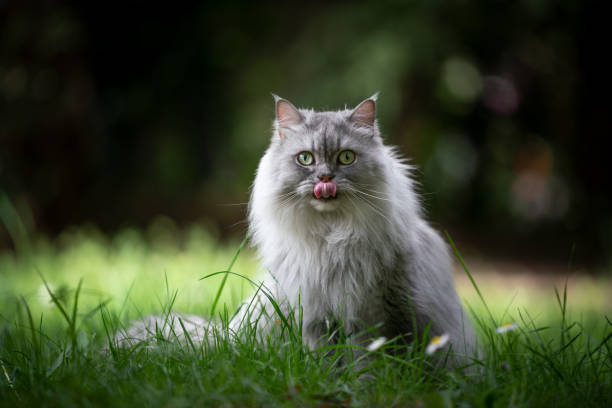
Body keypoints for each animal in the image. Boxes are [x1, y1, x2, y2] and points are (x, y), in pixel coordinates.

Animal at [115, 95, 478, 366]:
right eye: (305, 159)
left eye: (346, 158)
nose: (325, 179)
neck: (331, 239)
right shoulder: (317, 317)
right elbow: (326, 362)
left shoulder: (375, 316)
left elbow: (368, 364)